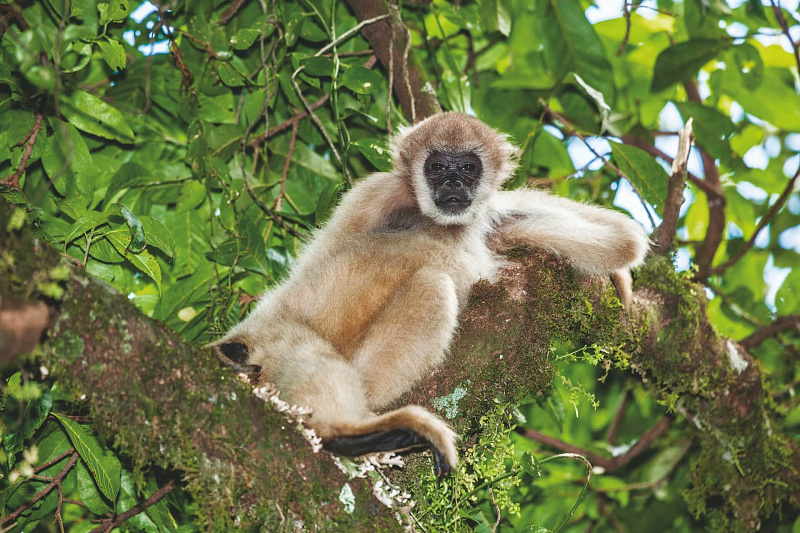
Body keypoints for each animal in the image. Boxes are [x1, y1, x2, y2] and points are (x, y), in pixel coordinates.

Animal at [210, 112, 649, 477]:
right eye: (437, 167)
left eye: (467, 168)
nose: (453, 183)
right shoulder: (375, 194)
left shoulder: (488, 220)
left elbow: (619, 241)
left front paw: (619, 273)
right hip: (274, 337)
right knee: (423, 289)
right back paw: (345, 433)